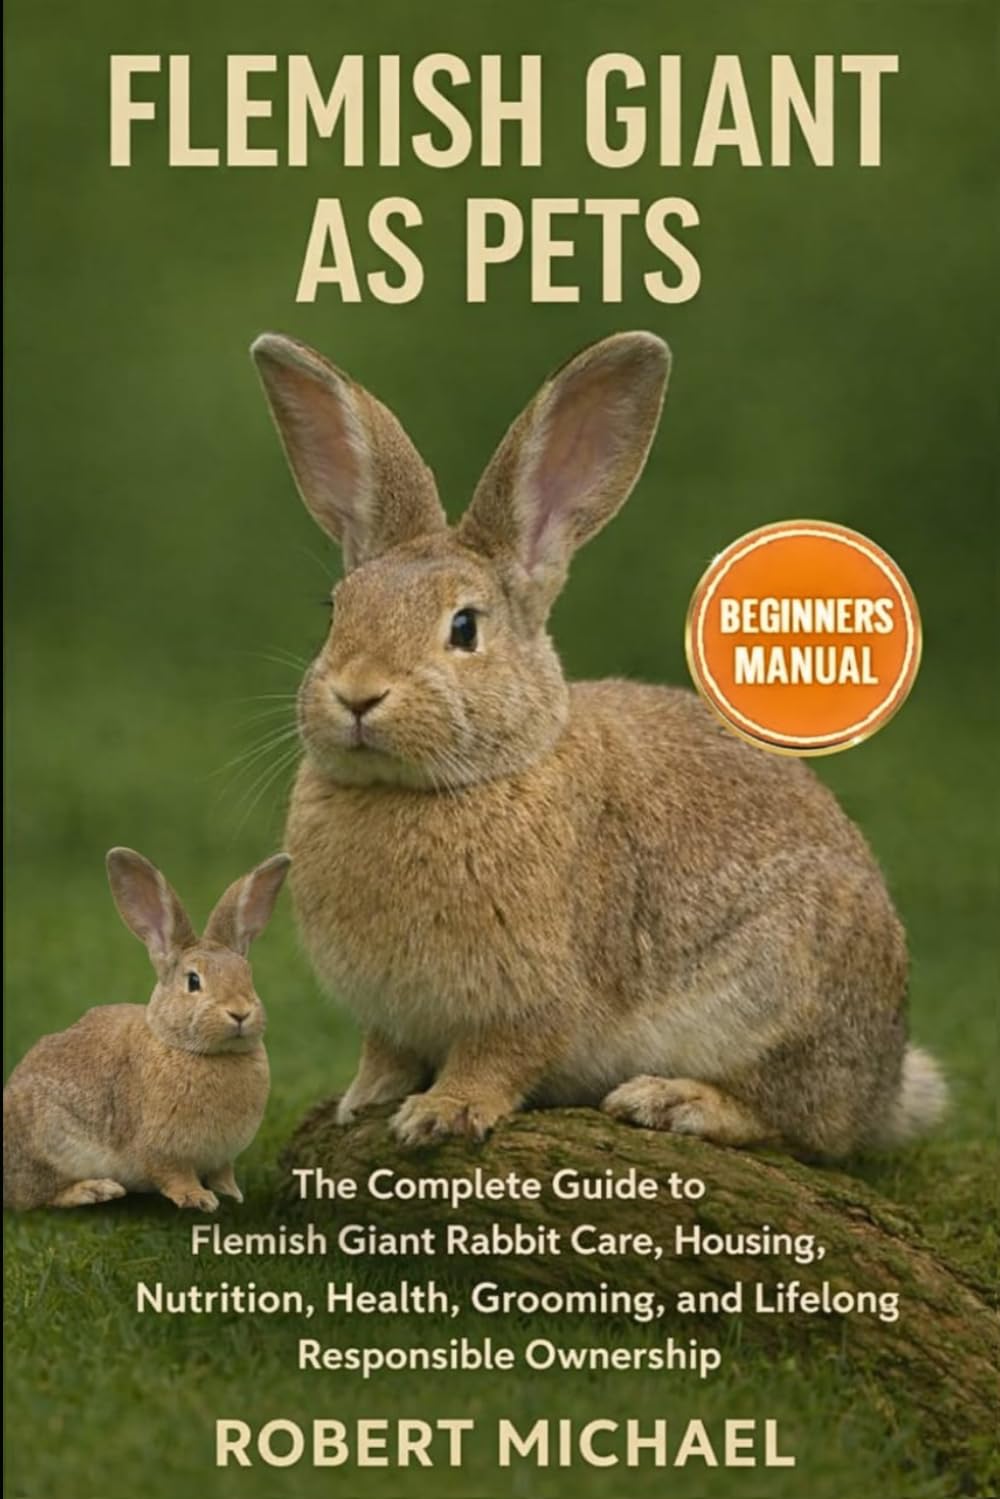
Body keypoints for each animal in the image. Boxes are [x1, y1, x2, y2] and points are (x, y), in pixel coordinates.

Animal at [3, 848, 290, 1211]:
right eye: (193, 981)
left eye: (247, 976)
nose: (240, 1012)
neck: (194, 1050)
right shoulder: (159, 1149)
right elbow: (173, 1174)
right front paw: (198, 1198)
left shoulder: (222, 1156)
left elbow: (223, 1171)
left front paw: (231, 1192)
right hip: (48, 1146)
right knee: (33, 1196)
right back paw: (95, 1190)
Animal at [250, 329, 946, 1160]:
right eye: (335, 612)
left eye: (464, 627)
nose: (357, 694)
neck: (441, 786)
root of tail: (886, 1082)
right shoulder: (389, 1016)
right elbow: (384, 1053)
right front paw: (364, 1099)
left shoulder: (531, 1001)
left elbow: (495, 1060)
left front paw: (441, 1112)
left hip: (783, 997)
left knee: (801, 1122)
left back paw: (673, 1101)